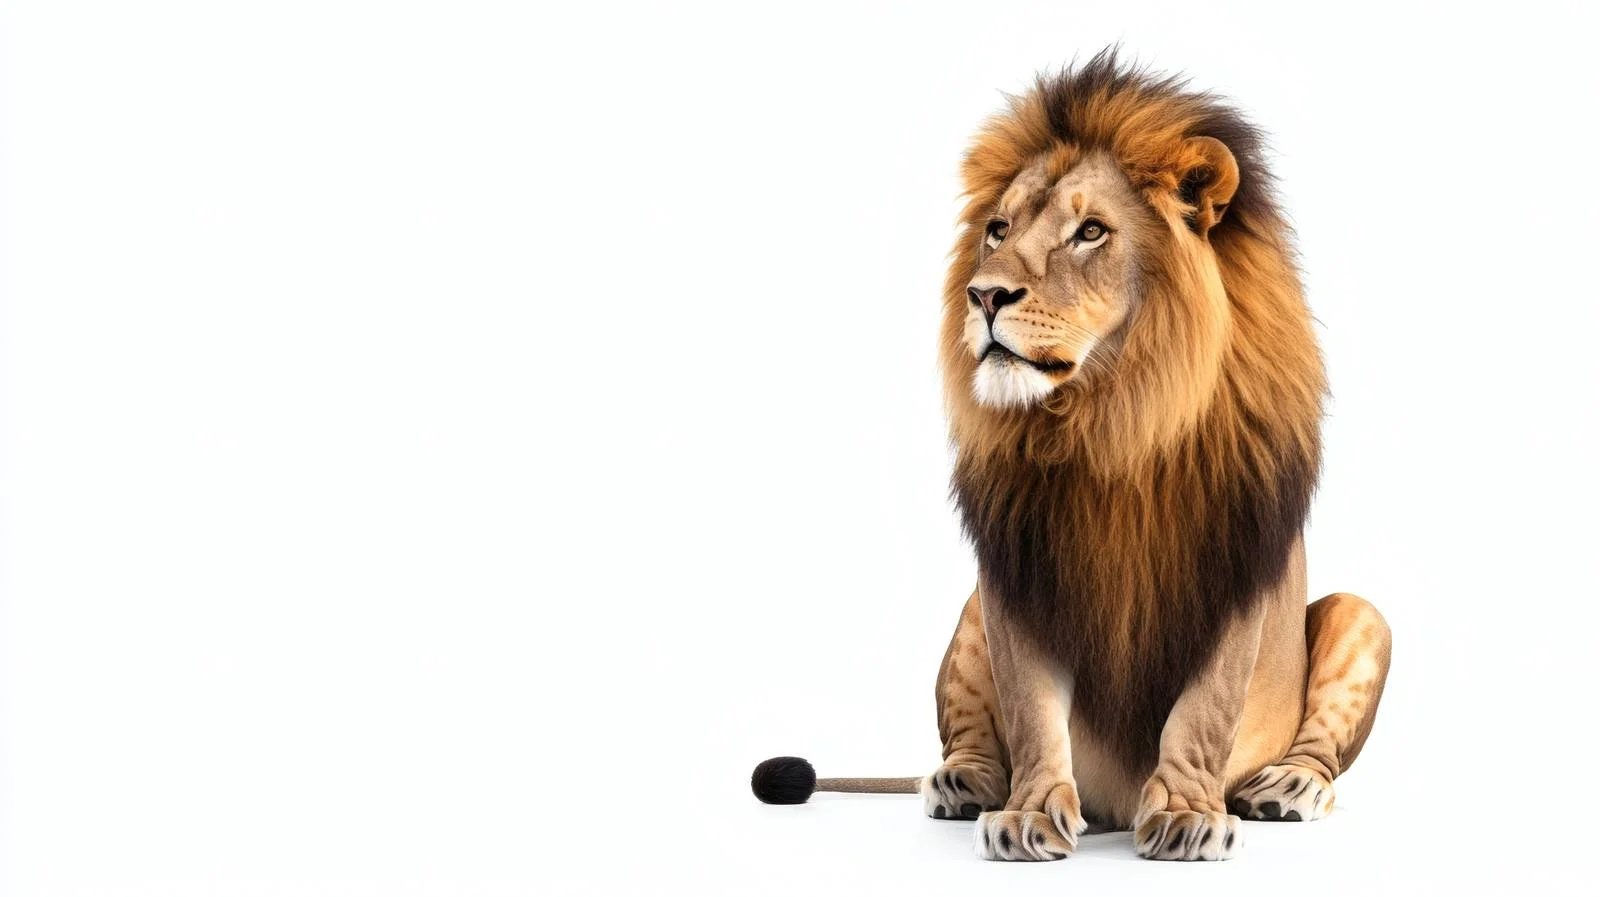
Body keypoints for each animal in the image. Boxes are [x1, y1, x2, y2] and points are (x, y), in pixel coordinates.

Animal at [750, 51, 1391, 862]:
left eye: (1090, 232)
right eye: (997, 230)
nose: (983, 295)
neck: (1107, 421)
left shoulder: (1236, 561)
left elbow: (1206, 707)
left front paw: (1188, 813)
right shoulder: (1015, 572)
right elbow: (1031, 709)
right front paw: (1027, 813)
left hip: (1363, 613)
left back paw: (1285, 785)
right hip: (970, 610)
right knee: (969, 734)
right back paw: (963, 781)